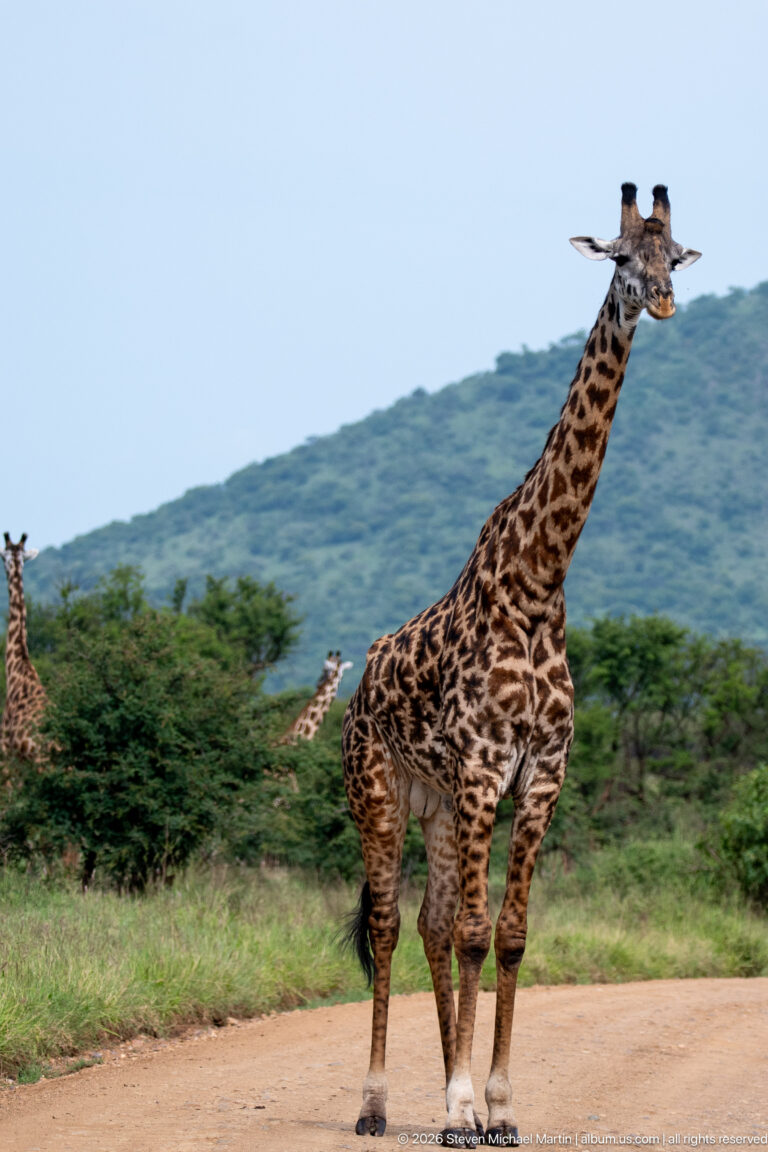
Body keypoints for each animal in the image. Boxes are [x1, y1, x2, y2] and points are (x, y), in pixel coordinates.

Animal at [341, 185, 700, 1145]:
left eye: (676, 254)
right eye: (620, 257)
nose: (661, 302)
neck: (542, 579)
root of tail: (358, 687)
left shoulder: (542, 772)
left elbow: (505, 935)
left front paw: (493, 1106)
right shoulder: (482, 765)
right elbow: (474, 932)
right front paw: (464, 1105)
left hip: (435, 806)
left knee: (431, 923)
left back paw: (439, 1092)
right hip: (379, 792)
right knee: (389, 925)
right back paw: (378, 1104)